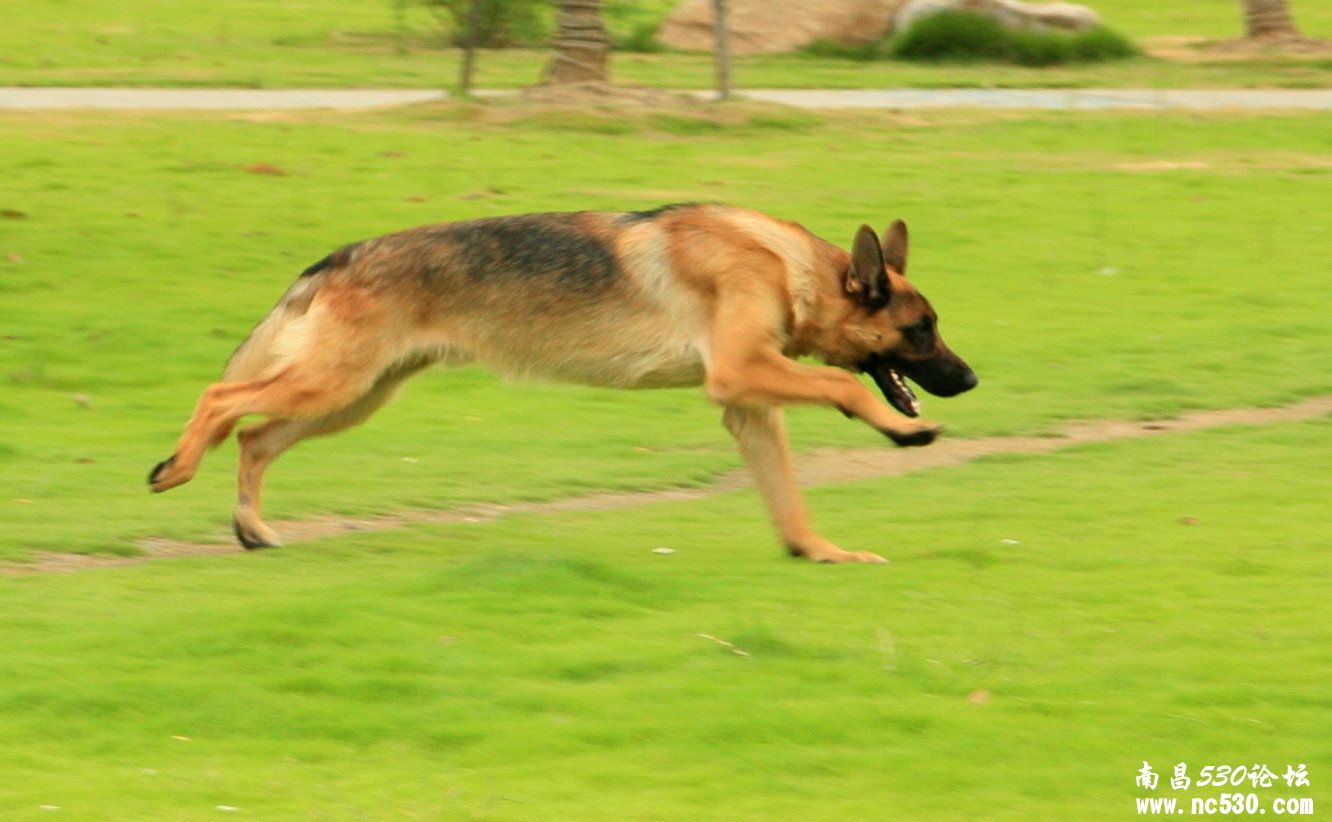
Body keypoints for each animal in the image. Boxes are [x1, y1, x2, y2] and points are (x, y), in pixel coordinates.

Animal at [151, 205, 980, 564]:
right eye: (922, 330)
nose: (971, 378)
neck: (788, 267)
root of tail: (341, 255)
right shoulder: (744, 373)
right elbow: (848, 388)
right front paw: (905, 430)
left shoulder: (747, 407)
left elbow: (787, 496)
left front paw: (818, 552)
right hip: (332, 384)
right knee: (221, 402)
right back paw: (177, 468)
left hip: (352, 396)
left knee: (255, 438)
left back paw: (251, 528)